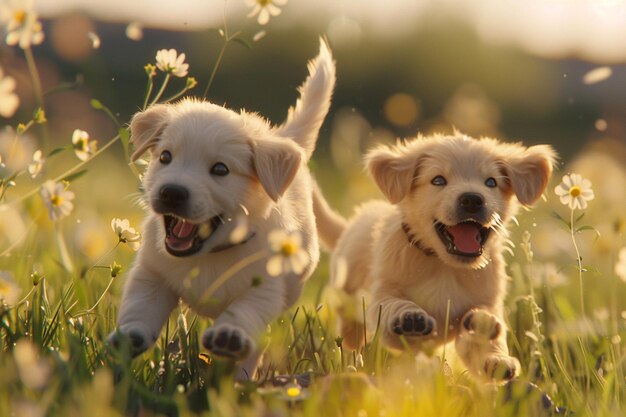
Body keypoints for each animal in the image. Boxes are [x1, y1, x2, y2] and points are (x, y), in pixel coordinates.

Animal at [111, 39, 336, 376]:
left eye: (220, 169)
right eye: (165, 157)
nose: (172, 193)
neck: (210, 255)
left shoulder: (266, 288)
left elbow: (245, 311)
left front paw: (230, 336)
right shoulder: (152, 272)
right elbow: (141, 304)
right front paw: (131, 334)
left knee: (256, 347)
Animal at [316, 134, 556, 380]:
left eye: (491, 182)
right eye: (438, 180)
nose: (472, 199)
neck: (444, 266)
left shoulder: (486, 302)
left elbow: (486, 337)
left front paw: (494, 348)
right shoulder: (382, 300)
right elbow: (392, 304)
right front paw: (409, 317)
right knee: (352, 341)